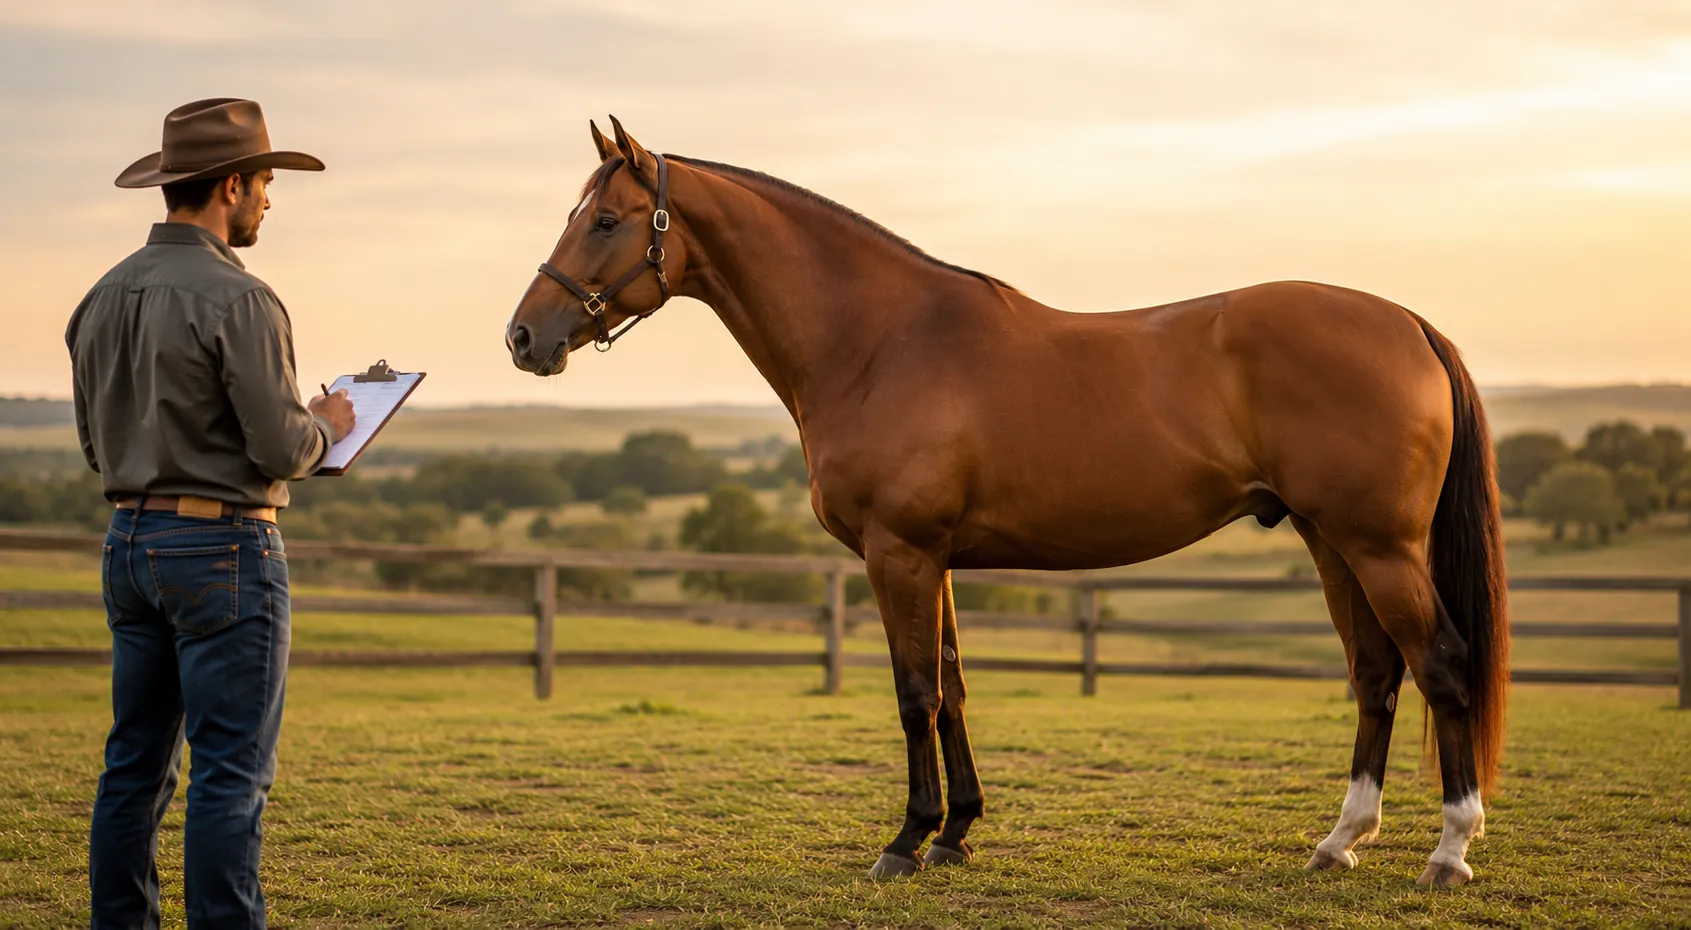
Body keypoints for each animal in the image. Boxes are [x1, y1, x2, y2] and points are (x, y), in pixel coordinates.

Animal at [504, 117, 1509, 887]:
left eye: (604, 220)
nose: (522, 337)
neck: (881, 340)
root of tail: (1408, 322)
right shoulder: (934, 558)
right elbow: (951, 684)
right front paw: (955, 832)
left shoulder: (898, 552)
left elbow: (913, 691)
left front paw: (904, 842)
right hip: (1330, 541)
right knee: (1375, 675)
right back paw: (1340, 842)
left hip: (1378, 546)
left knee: (1441, 664)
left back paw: (1449, 852)